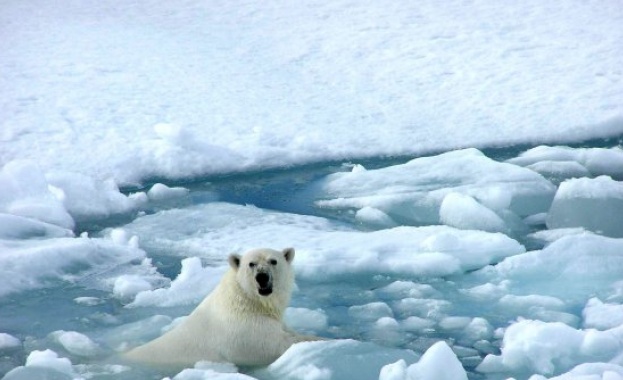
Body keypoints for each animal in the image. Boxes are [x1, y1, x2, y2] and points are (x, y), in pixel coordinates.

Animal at [122, 246, 322, 368]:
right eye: (251, 264)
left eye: (274, 261)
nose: (262, 277)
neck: (248, 302)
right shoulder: (244, 331)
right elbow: (275, 345)